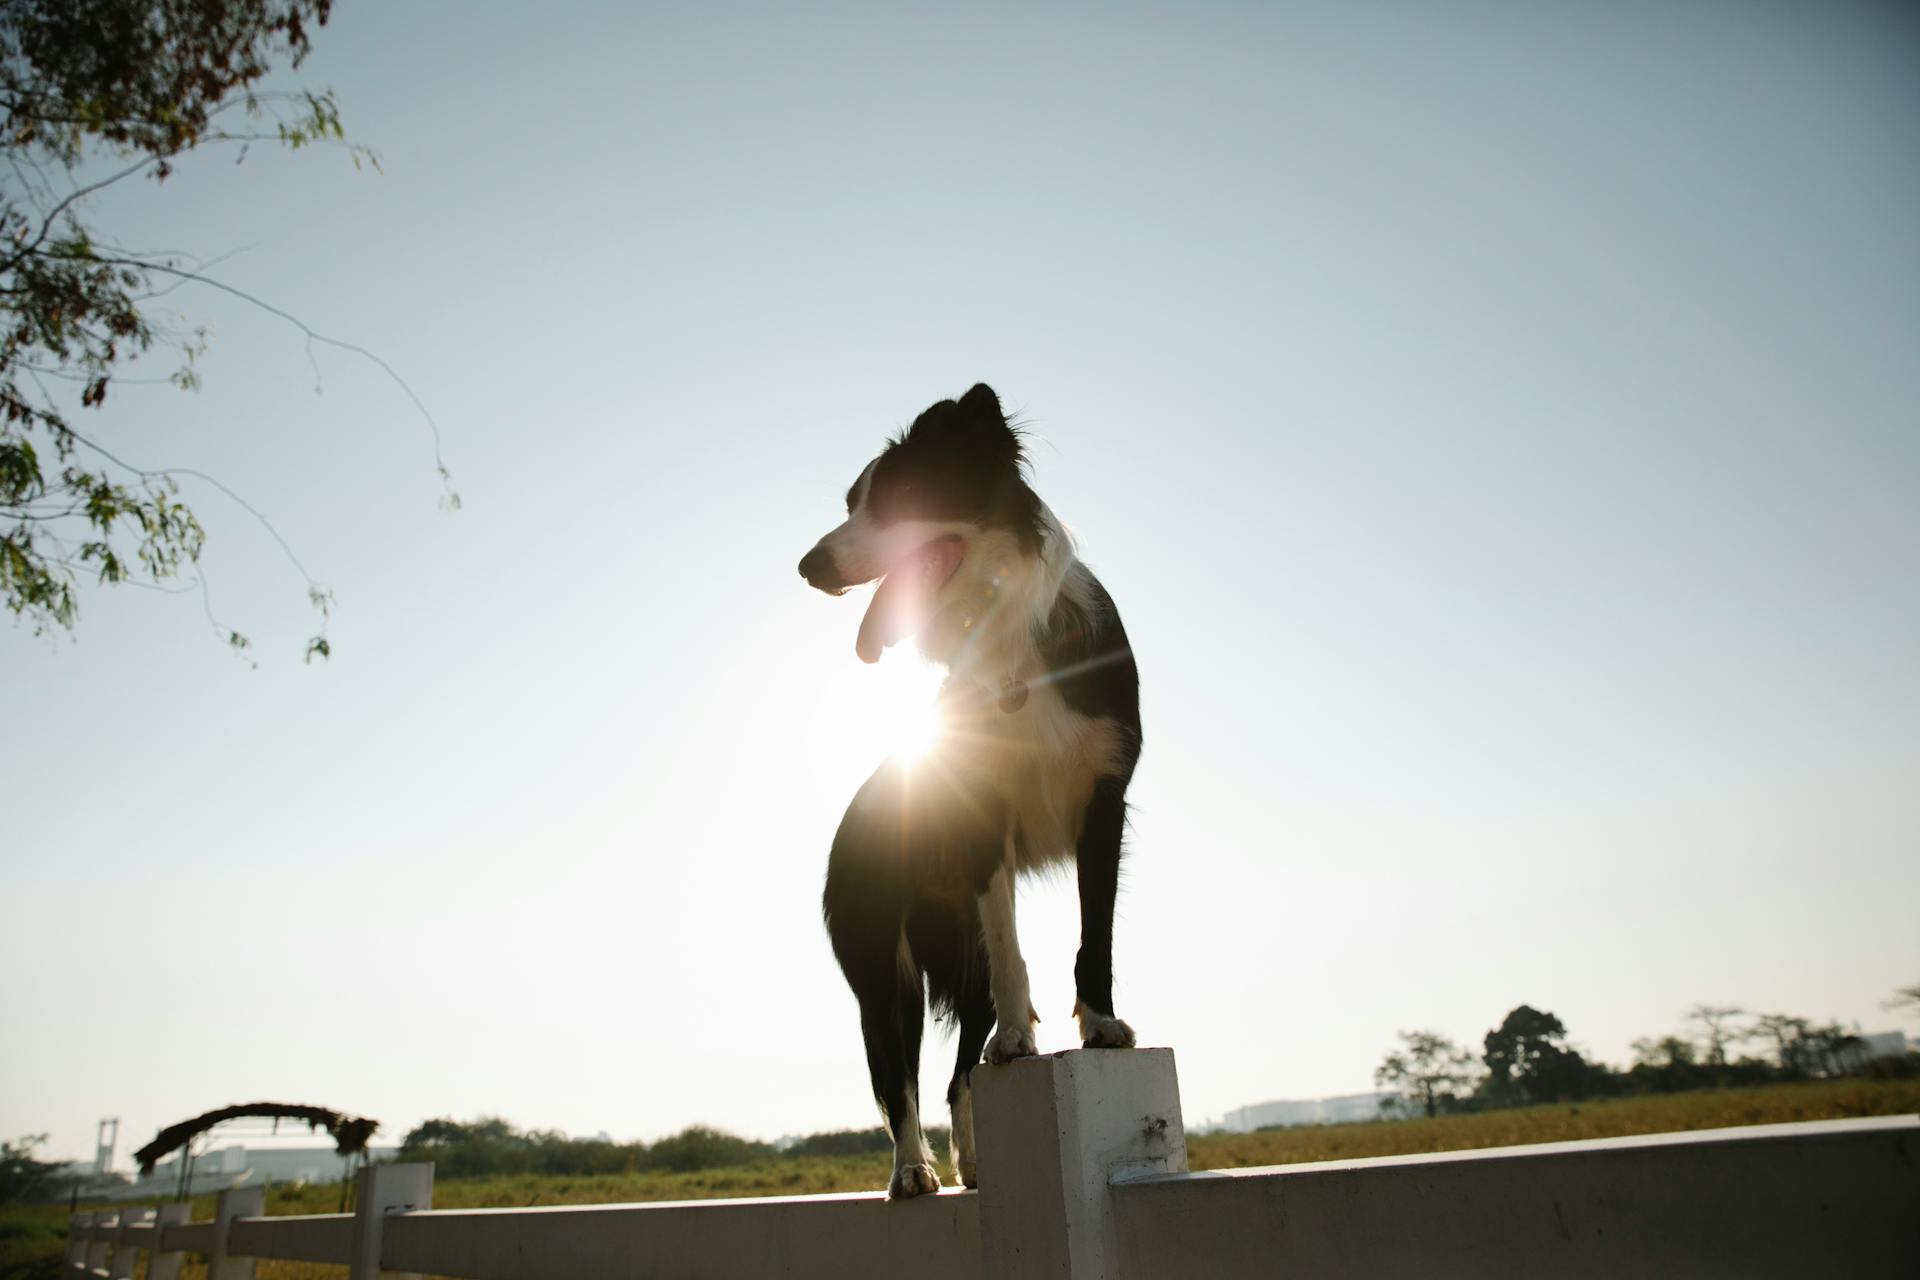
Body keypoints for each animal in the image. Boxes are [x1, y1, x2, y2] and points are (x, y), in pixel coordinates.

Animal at [794, 383, 1136, 1205]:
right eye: (852, 503)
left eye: (900, 499)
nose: (808, 566)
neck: (1007, 627)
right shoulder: (985, 820)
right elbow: (1013, 951)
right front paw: (1020, 1038)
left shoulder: (1104, 801)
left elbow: (1096, 935)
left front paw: (1101, 1027)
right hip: (882, 965)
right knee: (898, 1076)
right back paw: (912, 1171)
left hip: (954, 957)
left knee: (957, 1075)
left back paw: (977, 1166)